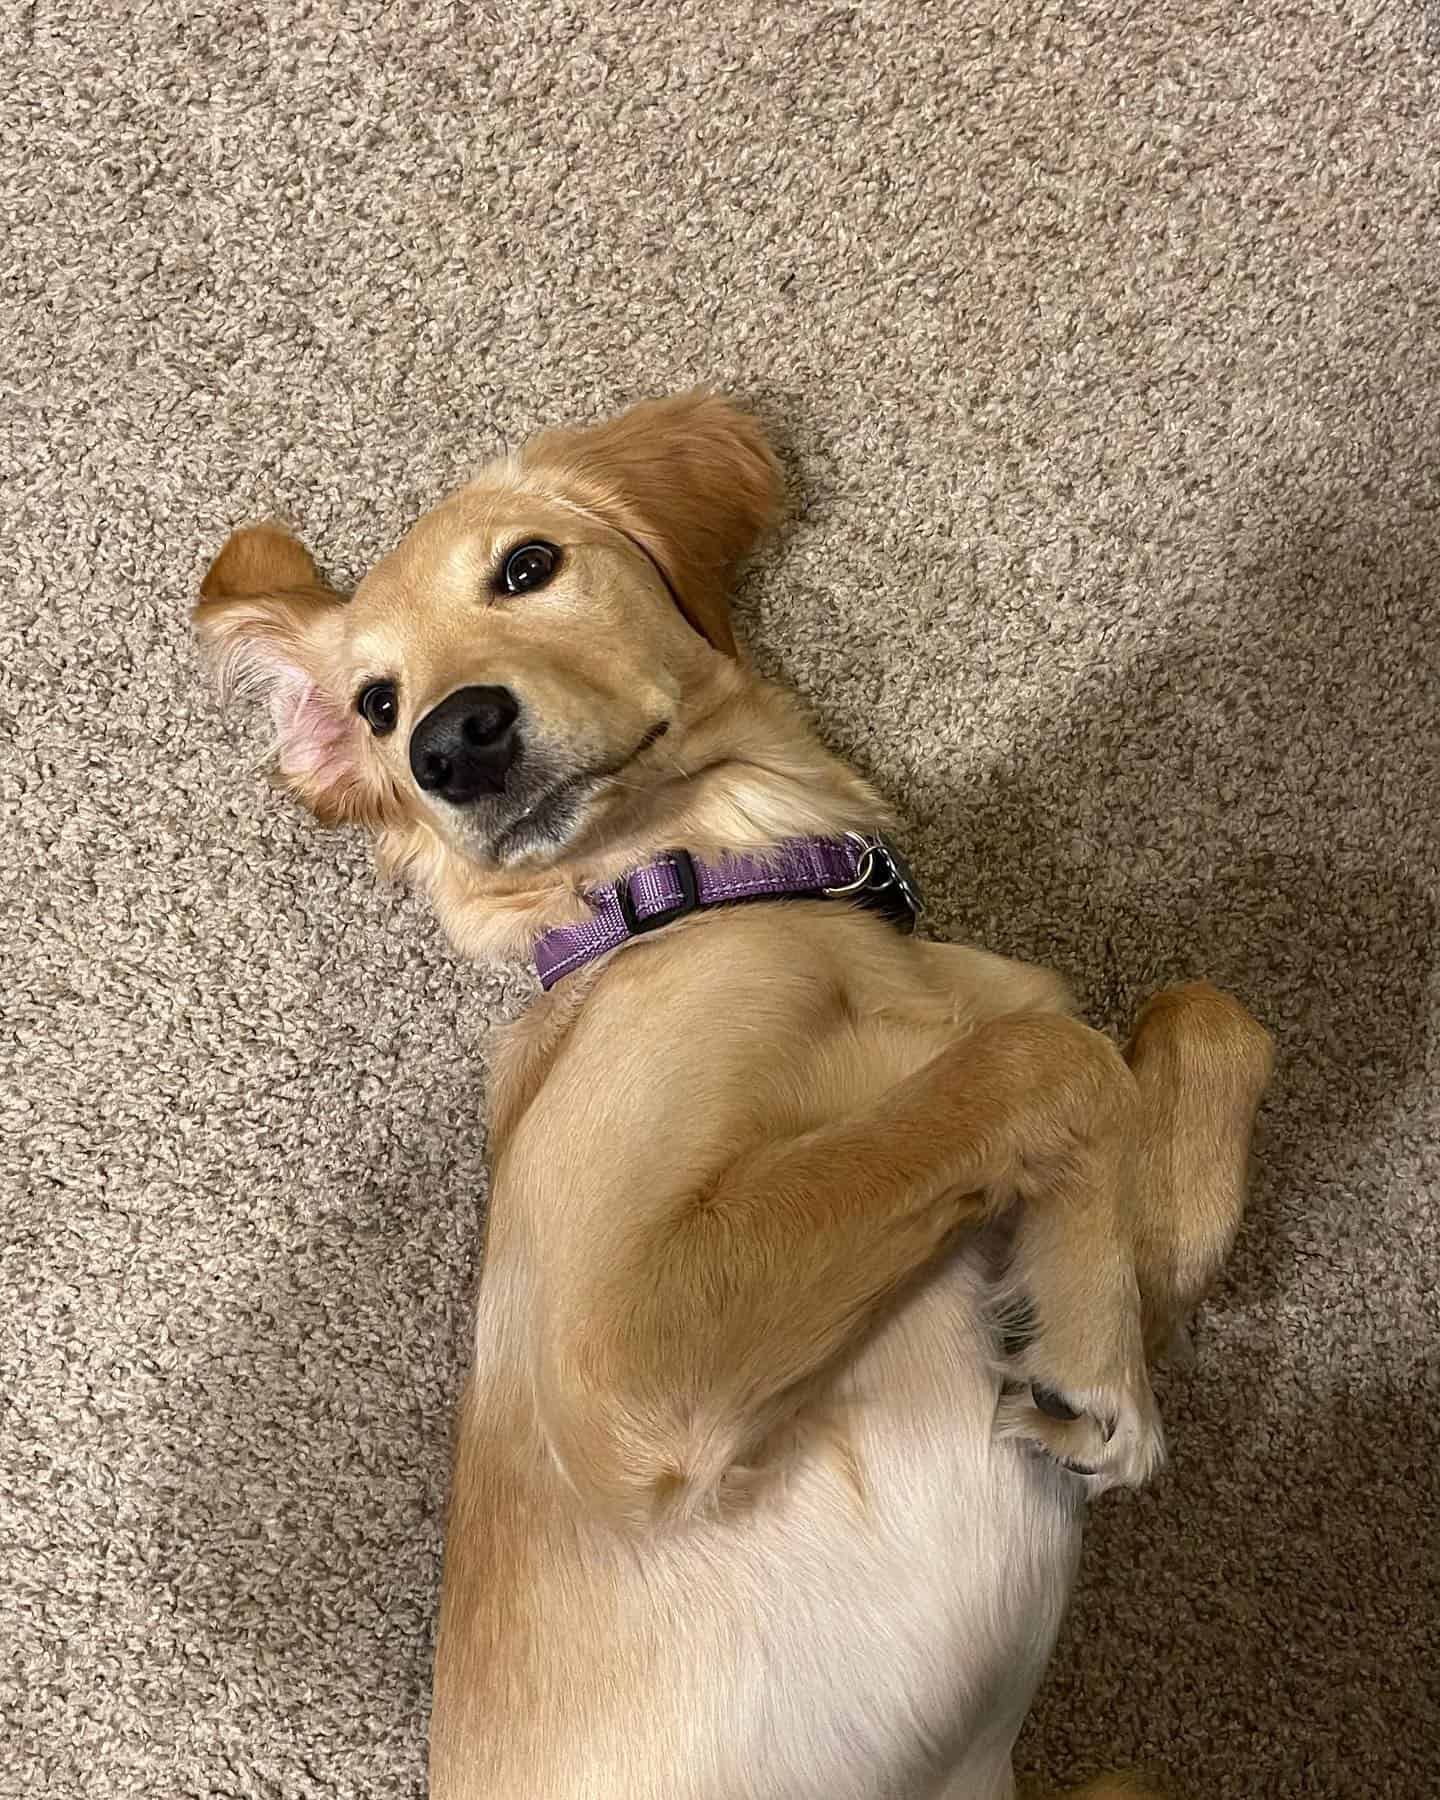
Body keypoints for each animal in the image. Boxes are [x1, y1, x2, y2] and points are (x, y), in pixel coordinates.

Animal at [194, 394, 1274, 1800]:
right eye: (377, 705)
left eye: (527, 567)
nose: (447, 743)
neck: (716, 890)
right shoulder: (616, 1354)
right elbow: (1049, 1055)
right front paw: (1095, 1358)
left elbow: (1198, 1019)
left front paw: (1078, 1327)